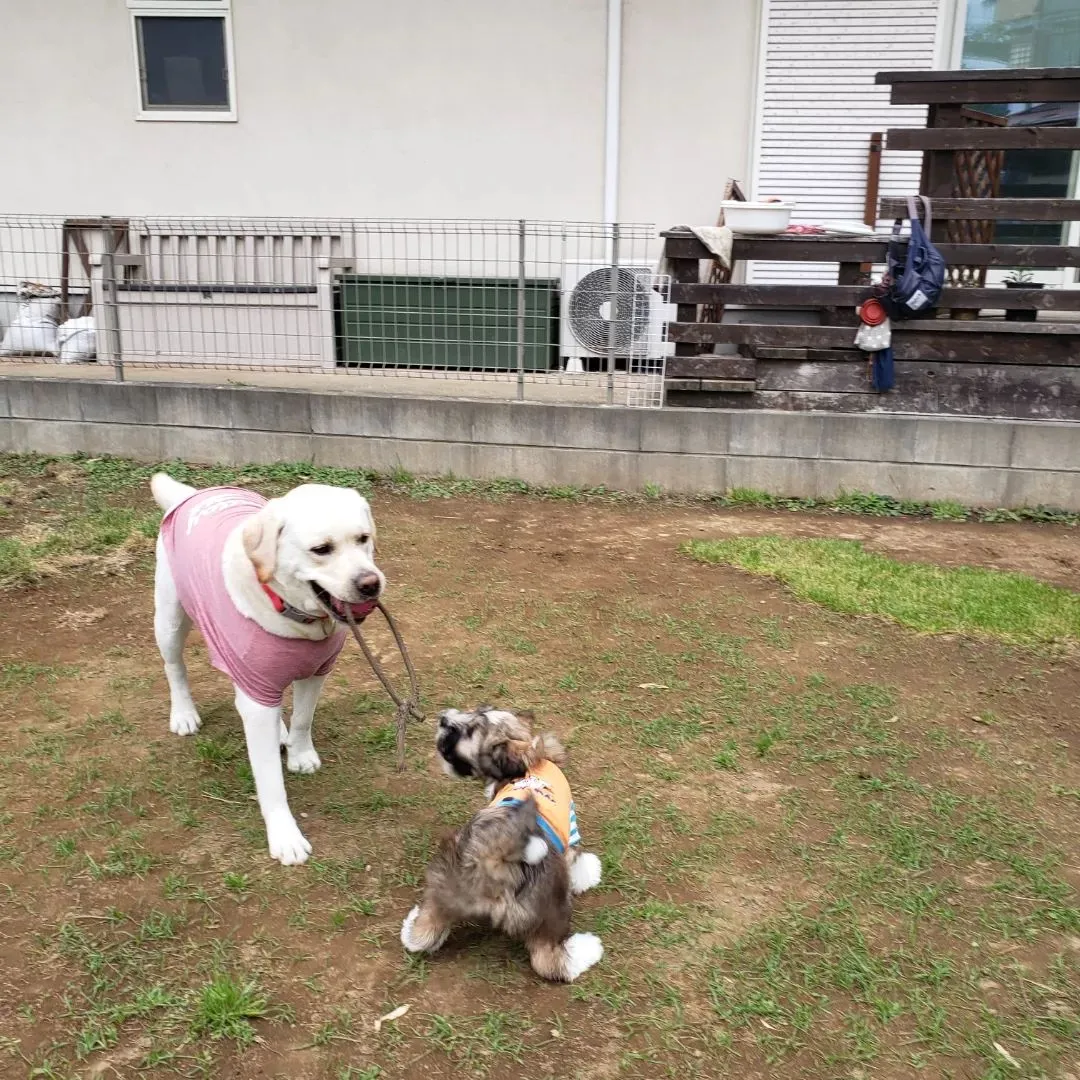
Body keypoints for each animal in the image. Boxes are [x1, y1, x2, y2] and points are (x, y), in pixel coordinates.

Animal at [150, 477, 386, 864]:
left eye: (363, 538)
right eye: (321, 549)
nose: (371, 584)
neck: (295, 616)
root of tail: (193, 494)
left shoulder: (315, 671)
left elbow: (303, 719)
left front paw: (300, 755)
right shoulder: (255, 691)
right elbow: (270, 781)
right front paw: (285, 837)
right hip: (170, 620)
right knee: (175, 668)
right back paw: (183, 714)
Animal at [401, 704, 604, 984]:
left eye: (471, 725)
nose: (443, 718)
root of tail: (492, 859)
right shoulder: (571, 836)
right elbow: (580, 862)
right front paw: (590, 873)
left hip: (442, 891)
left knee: (423, 934)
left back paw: (411, 924)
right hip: (551, 908)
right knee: (550, 960)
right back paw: (587, 949)